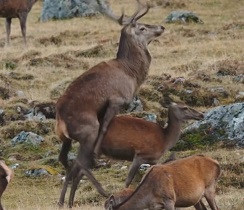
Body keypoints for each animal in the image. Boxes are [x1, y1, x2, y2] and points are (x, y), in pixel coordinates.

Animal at [56, 0, 165, 207]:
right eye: (142, 27)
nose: (161, 27)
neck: (131, 74)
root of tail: (60, 121)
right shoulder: (116, 99)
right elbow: (106, 125)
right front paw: (98, 154)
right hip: (87, 131)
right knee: (78, 163)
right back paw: (99, 189)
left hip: (66, 139)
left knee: (65, 160)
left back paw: (64, 201)